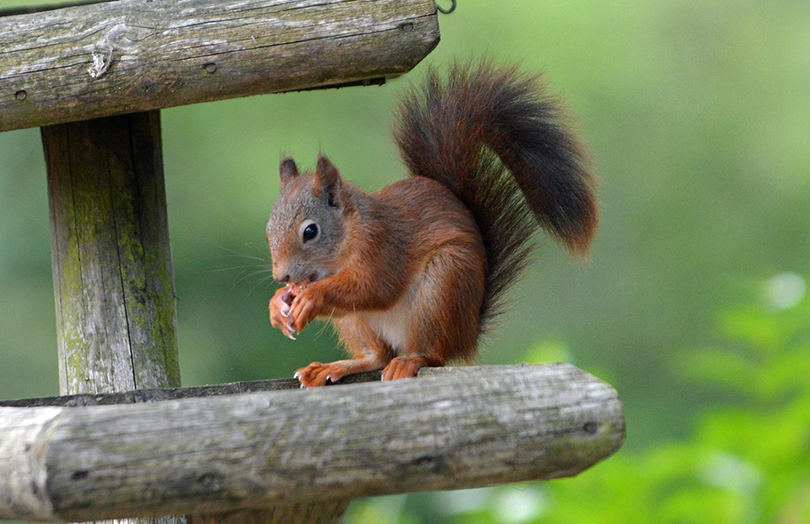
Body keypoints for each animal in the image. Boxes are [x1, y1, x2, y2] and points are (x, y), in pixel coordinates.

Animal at [266, 61, 598, 388]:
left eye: (310, 231)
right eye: (269, 231)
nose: (281, 276)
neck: (344, 243)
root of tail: (468, 332)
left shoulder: (384, 244)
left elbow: (375, 286)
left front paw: (311, 296)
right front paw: (278, 305)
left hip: (441, 288)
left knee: (432, 355)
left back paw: (410, 361)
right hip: (355, 321)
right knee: (377, 356)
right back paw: (332, 367)